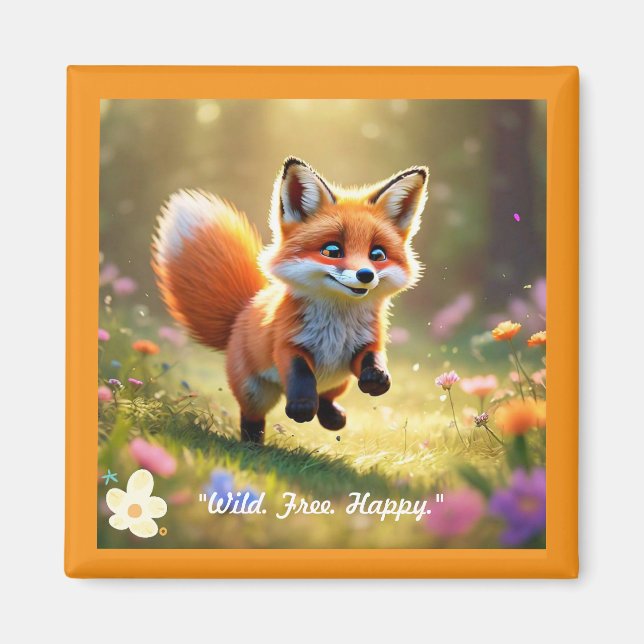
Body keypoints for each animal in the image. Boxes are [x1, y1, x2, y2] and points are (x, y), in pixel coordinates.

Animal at [152, 157, 428, 444]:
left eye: (377, 255)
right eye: (332, 250)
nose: (365, 274)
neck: (336, 327)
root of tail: (243, 312)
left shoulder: (364, 343)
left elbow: (372, 357)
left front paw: (376, 377)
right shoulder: (286, 343)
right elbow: (301, 374)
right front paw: (302, 406)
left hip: (339, 381)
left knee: (327, 398)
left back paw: (333, 417)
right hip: (254, 391)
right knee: (252, 418)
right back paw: (254, 445)